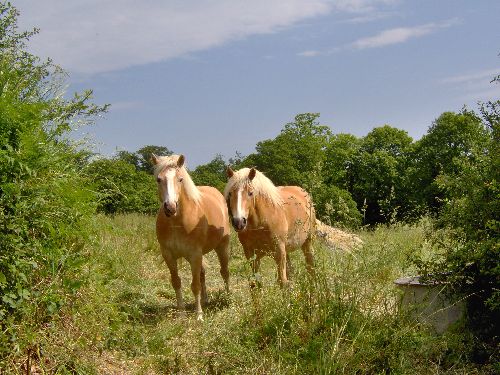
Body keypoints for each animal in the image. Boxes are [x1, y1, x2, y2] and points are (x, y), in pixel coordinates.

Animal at [152, 154, 230, 322]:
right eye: (159, 179)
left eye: (180, 179)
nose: (170, 207)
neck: (177, 222)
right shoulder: (168, 255)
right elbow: (176, 282)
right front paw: (181, 312)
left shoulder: (194, 255)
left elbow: (195, 285)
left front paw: (199, 315)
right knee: (202, 274)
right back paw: (205, 299)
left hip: (222, 247)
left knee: (224, 272)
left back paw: (228, 297)